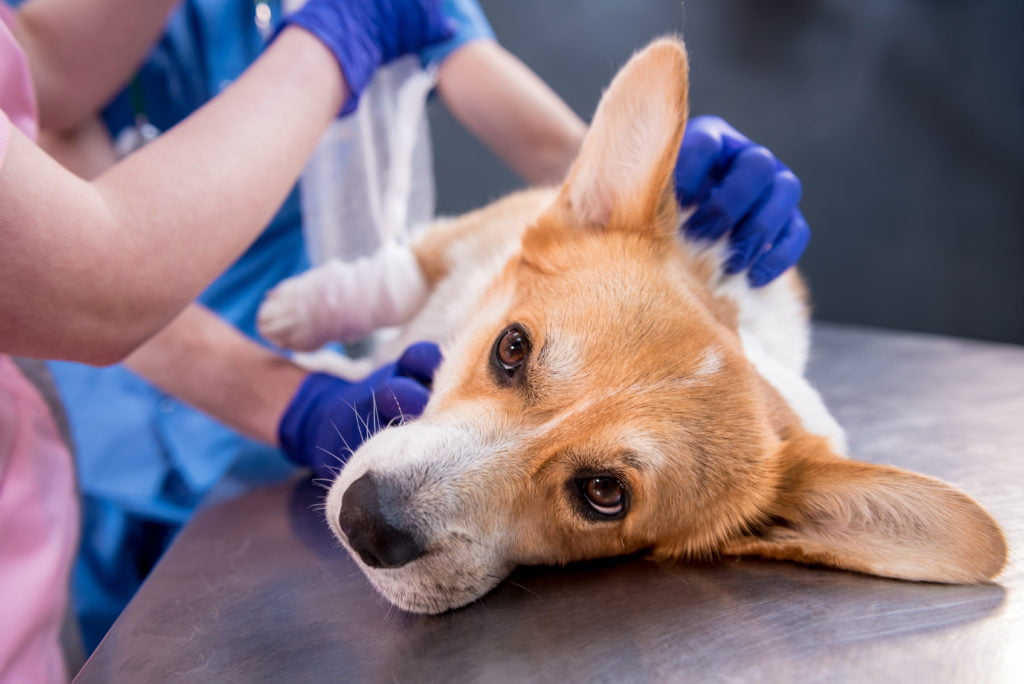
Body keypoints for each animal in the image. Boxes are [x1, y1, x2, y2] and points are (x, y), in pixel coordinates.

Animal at [260, 36, 1003, 614]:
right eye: (511, 347)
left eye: (603, 495)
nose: (364, 522)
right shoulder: (484, 231)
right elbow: (406, 268)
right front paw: (297, 313)